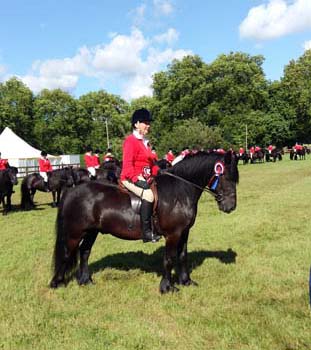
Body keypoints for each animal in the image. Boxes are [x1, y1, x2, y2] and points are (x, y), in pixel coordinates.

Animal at [50, 150, 240, 292]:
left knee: (84, 252)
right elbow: (169, 259)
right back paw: (56, 283)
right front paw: (167, 287)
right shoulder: (173, 234)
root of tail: (73, 191)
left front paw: (186, 281)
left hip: (92, 231)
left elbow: (182, 256)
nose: (230, 207)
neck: (180, 191)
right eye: (226, 177)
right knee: (67, 253)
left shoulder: (184, 232)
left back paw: (86, 281)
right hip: (75, 233)